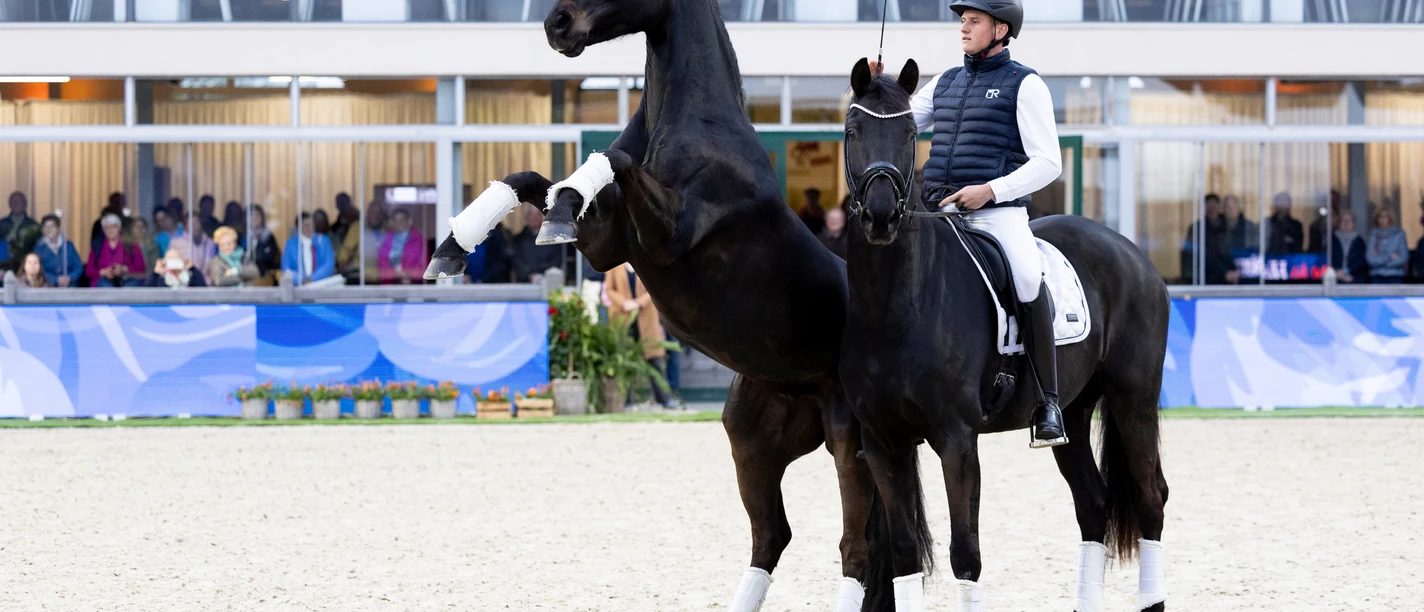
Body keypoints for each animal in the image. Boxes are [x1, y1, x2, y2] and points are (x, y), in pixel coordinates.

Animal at [422, 1, 875, 609]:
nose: (556, 25)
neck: (695, 129)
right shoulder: (606, 245)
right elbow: (532, 178)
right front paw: (450, 250)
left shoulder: (665, 237)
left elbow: (608, 158)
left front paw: (551, 213)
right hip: (753, 436)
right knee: (773, 535)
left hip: (850, 437)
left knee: (856, 550)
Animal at [839, 59, 1171, 612]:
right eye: (852, 131)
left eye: (909, 135)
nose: (881, 216)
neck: (898, 304)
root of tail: (1131, 253)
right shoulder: (884, 441)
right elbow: (905, 554)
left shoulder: (956, 437)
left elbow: (965, 555)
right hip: (1074, 412)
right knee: (1093, 503)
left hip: (1134, 401)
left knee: (1150, 498)